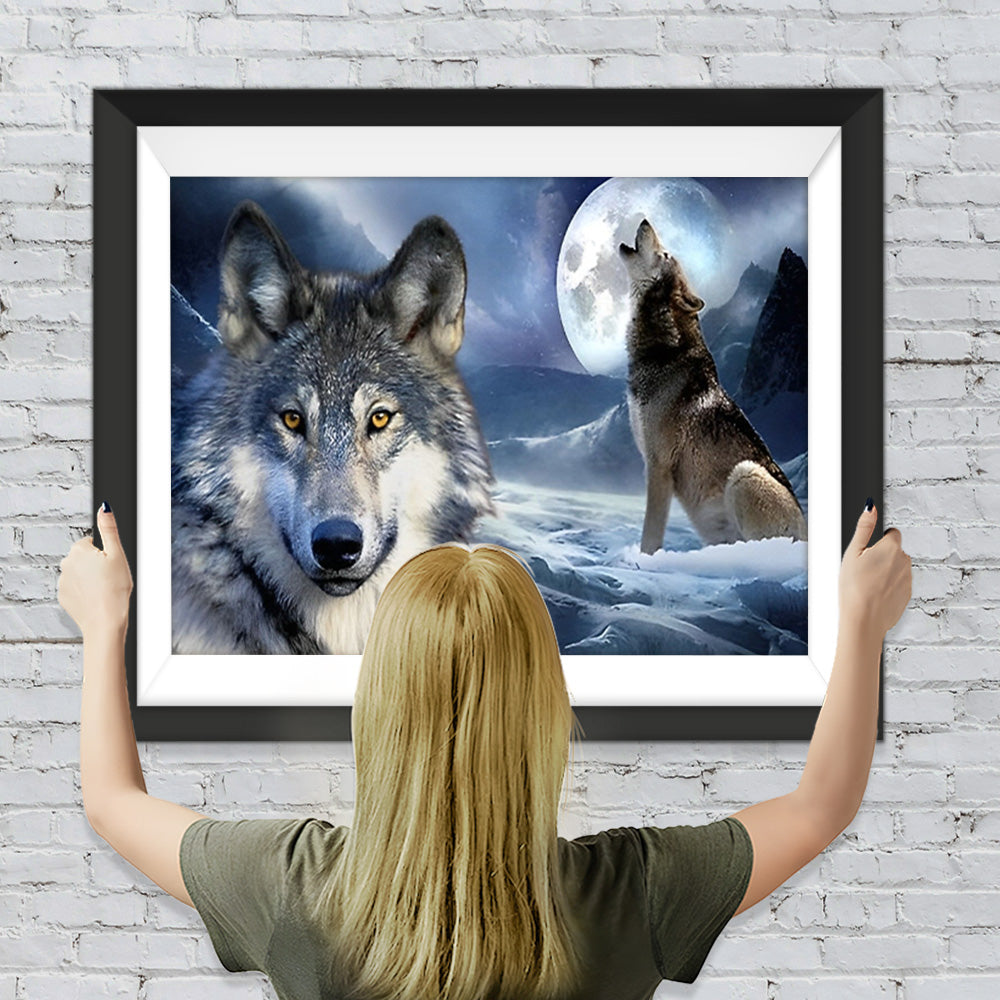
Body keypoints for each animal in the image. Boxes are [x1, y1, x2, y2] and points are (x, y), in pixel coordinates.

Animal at [619, 219, 807, 555]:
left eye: (665, 254)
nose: (645, 220)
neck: (663, 352)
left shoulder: (659, 466)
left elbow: (650, 535)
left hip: (745, 473)